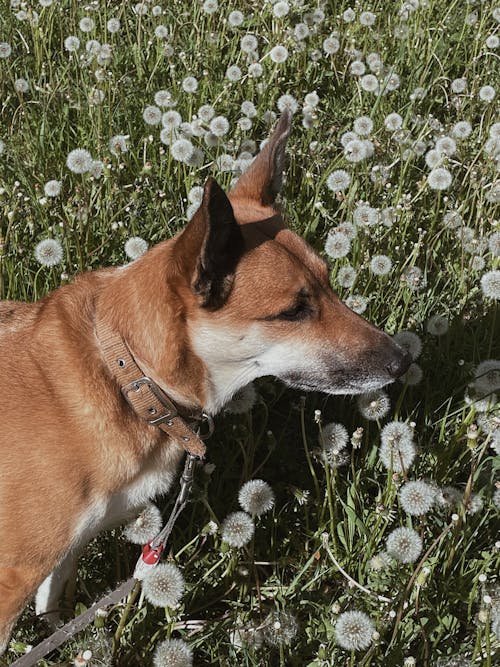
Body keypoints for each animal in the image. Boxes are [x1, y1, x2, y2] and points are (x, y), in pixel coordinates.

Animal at [0, 112, 410, 656]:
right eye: (294, 311)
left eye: (328, 282)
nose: (404, 360)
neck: (129, 377)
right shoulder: (12, 577)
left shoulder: (65, 550)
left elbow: (53, 606)